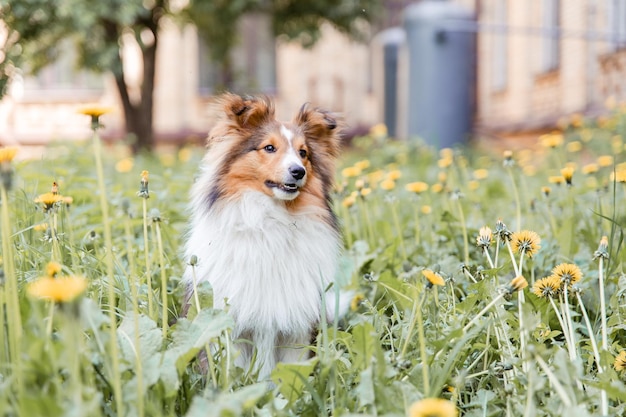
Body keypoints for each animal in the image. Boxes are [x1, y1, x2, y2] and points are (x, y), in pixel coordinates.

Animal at [180, 92, 346, 378]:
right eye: (269, 148)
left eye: (303, 153)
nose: (298, 172)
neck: (272, 219)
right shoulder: (233, 325)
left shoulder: (295, 328)